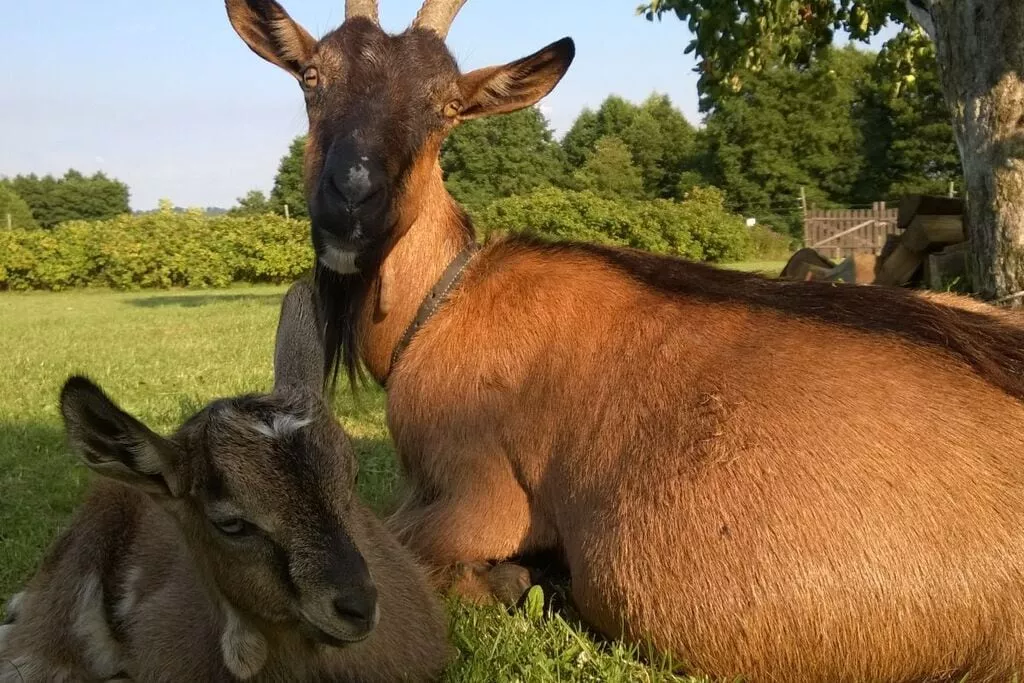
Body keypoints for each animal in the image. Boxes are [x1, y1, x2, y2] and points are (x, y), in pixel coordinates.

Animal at [226, 2, 1024, 679]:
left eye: (447, 106)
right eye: (312, 77)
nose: (351, 198)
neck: (442, 302)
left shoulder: (476, 495)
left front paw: (518, 578)